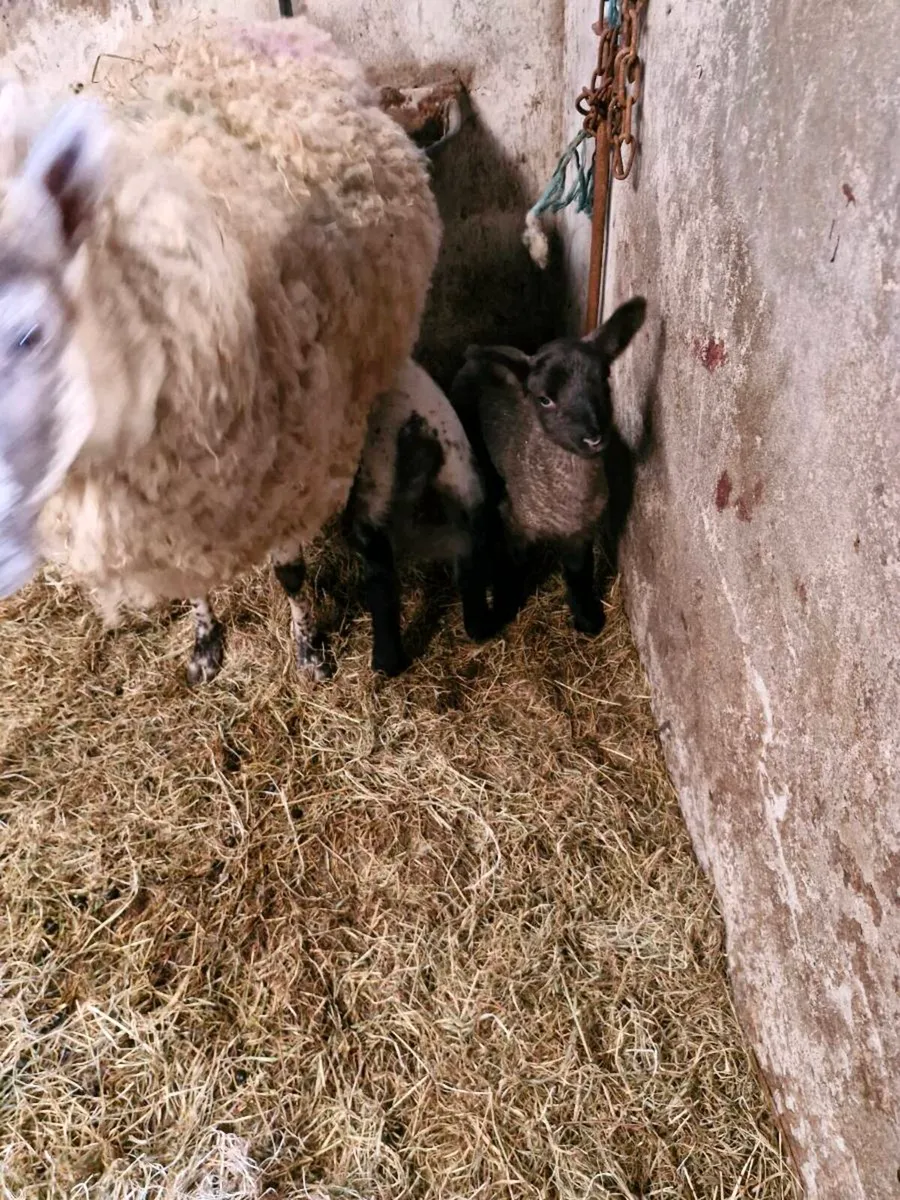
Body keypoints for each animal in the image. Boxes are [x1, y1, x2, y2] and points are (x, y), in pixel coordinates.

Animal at [0, 16, 441, 685]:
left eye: (30, 333)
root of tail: (237, 21)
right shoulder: (180, 529)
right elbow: (193, 588)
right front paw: (205, 643)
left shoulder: (299, 479)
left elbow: (290, 573)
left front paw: (310, 649)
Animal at [344, 359, 493, 677]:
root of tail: (418, 429)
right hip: (462, 475)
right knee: (471, 551)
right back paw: (478, 627)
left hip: (376, 485)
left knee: (382, 578)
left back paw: (386, 663)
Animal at [450, 297, 647, 636]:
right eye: (544, 399)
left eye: (605, 379)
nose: (593, 437)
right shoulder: (516, 524)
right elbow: (512, 570)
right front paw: (504, 609)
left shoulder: (581, 531)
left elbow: (579, 574)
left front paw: (587, 619)